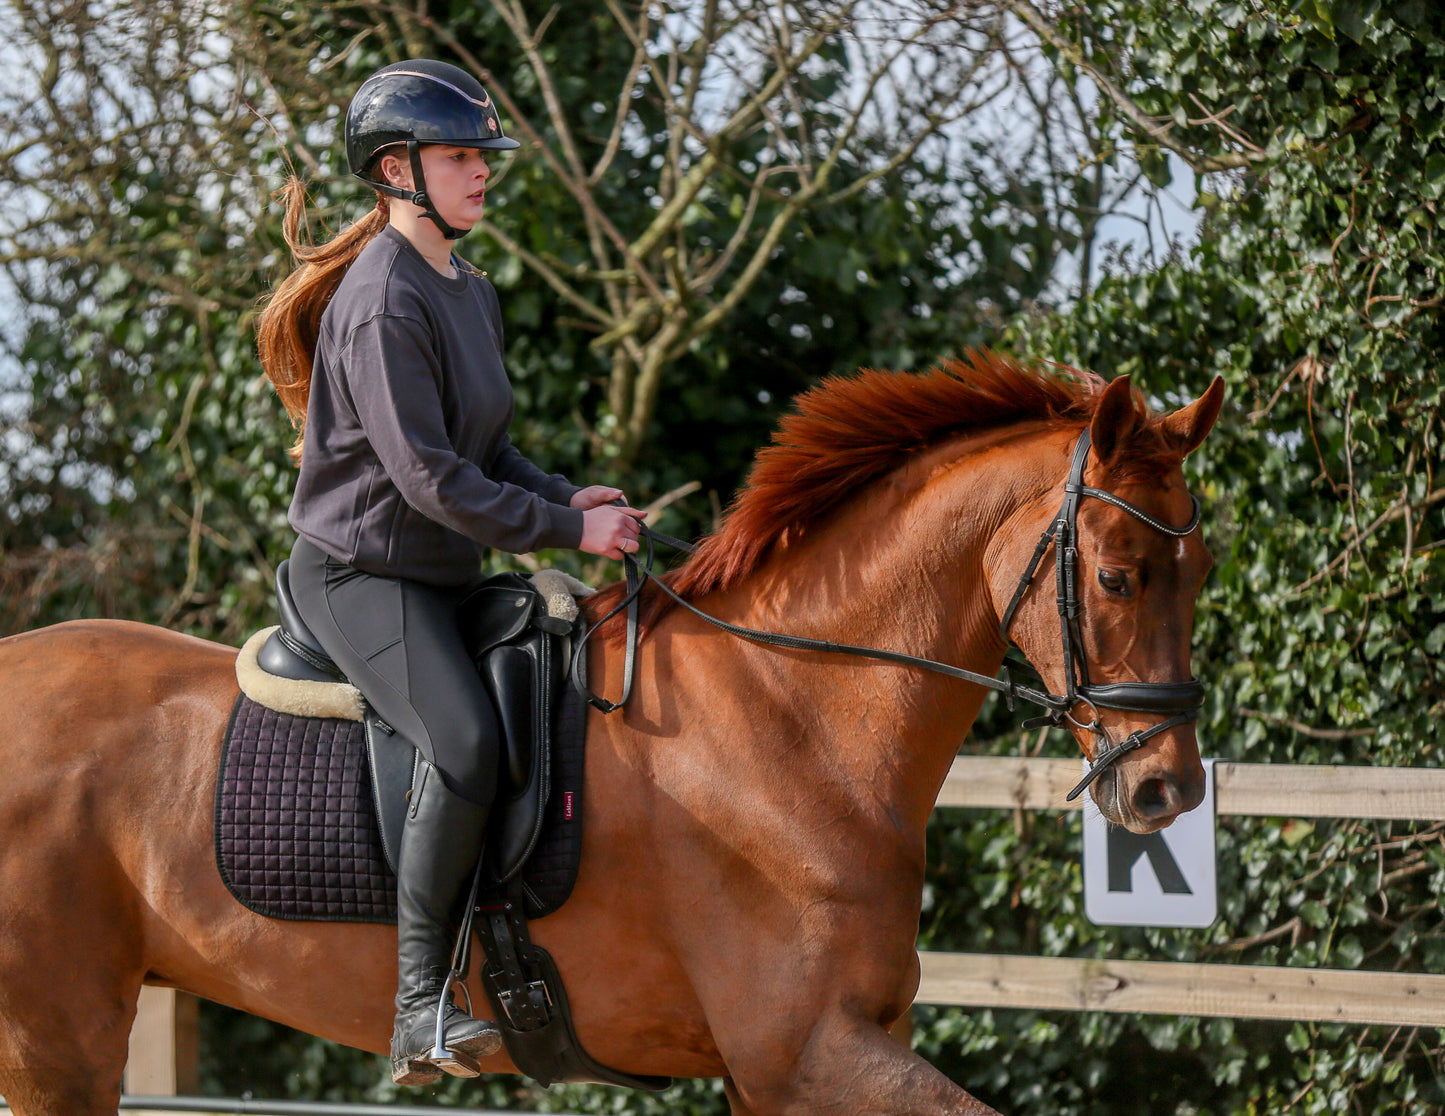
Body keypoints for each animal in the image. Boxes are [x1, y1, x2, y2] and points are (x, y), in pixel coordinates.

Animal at [0, 359, 1219, 1116]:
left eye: (1201, 570)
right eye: (1117, 576)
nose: (1165, 793)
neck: (791, 715)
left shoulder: (777, 1073)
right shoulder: (810, 1056)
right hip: (54, 1041)